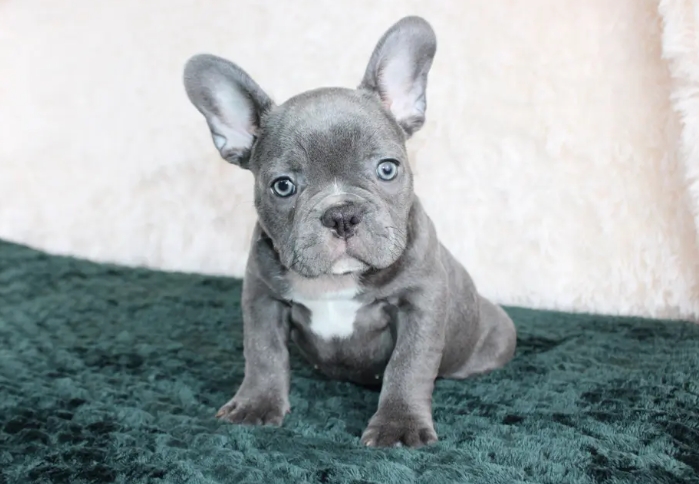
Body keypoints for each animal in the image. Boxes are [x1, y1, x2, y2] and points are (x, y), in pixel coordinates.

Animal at [183, 15, 516, 448]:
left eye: (387, 169)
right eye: (283, 186)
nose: (342, 214)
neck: (335, 282)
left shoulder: (420, 303)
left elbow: (408, 364)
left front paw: (398, 425)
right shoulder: (262, 298)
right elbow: (262, 352)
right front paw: (256, 404)